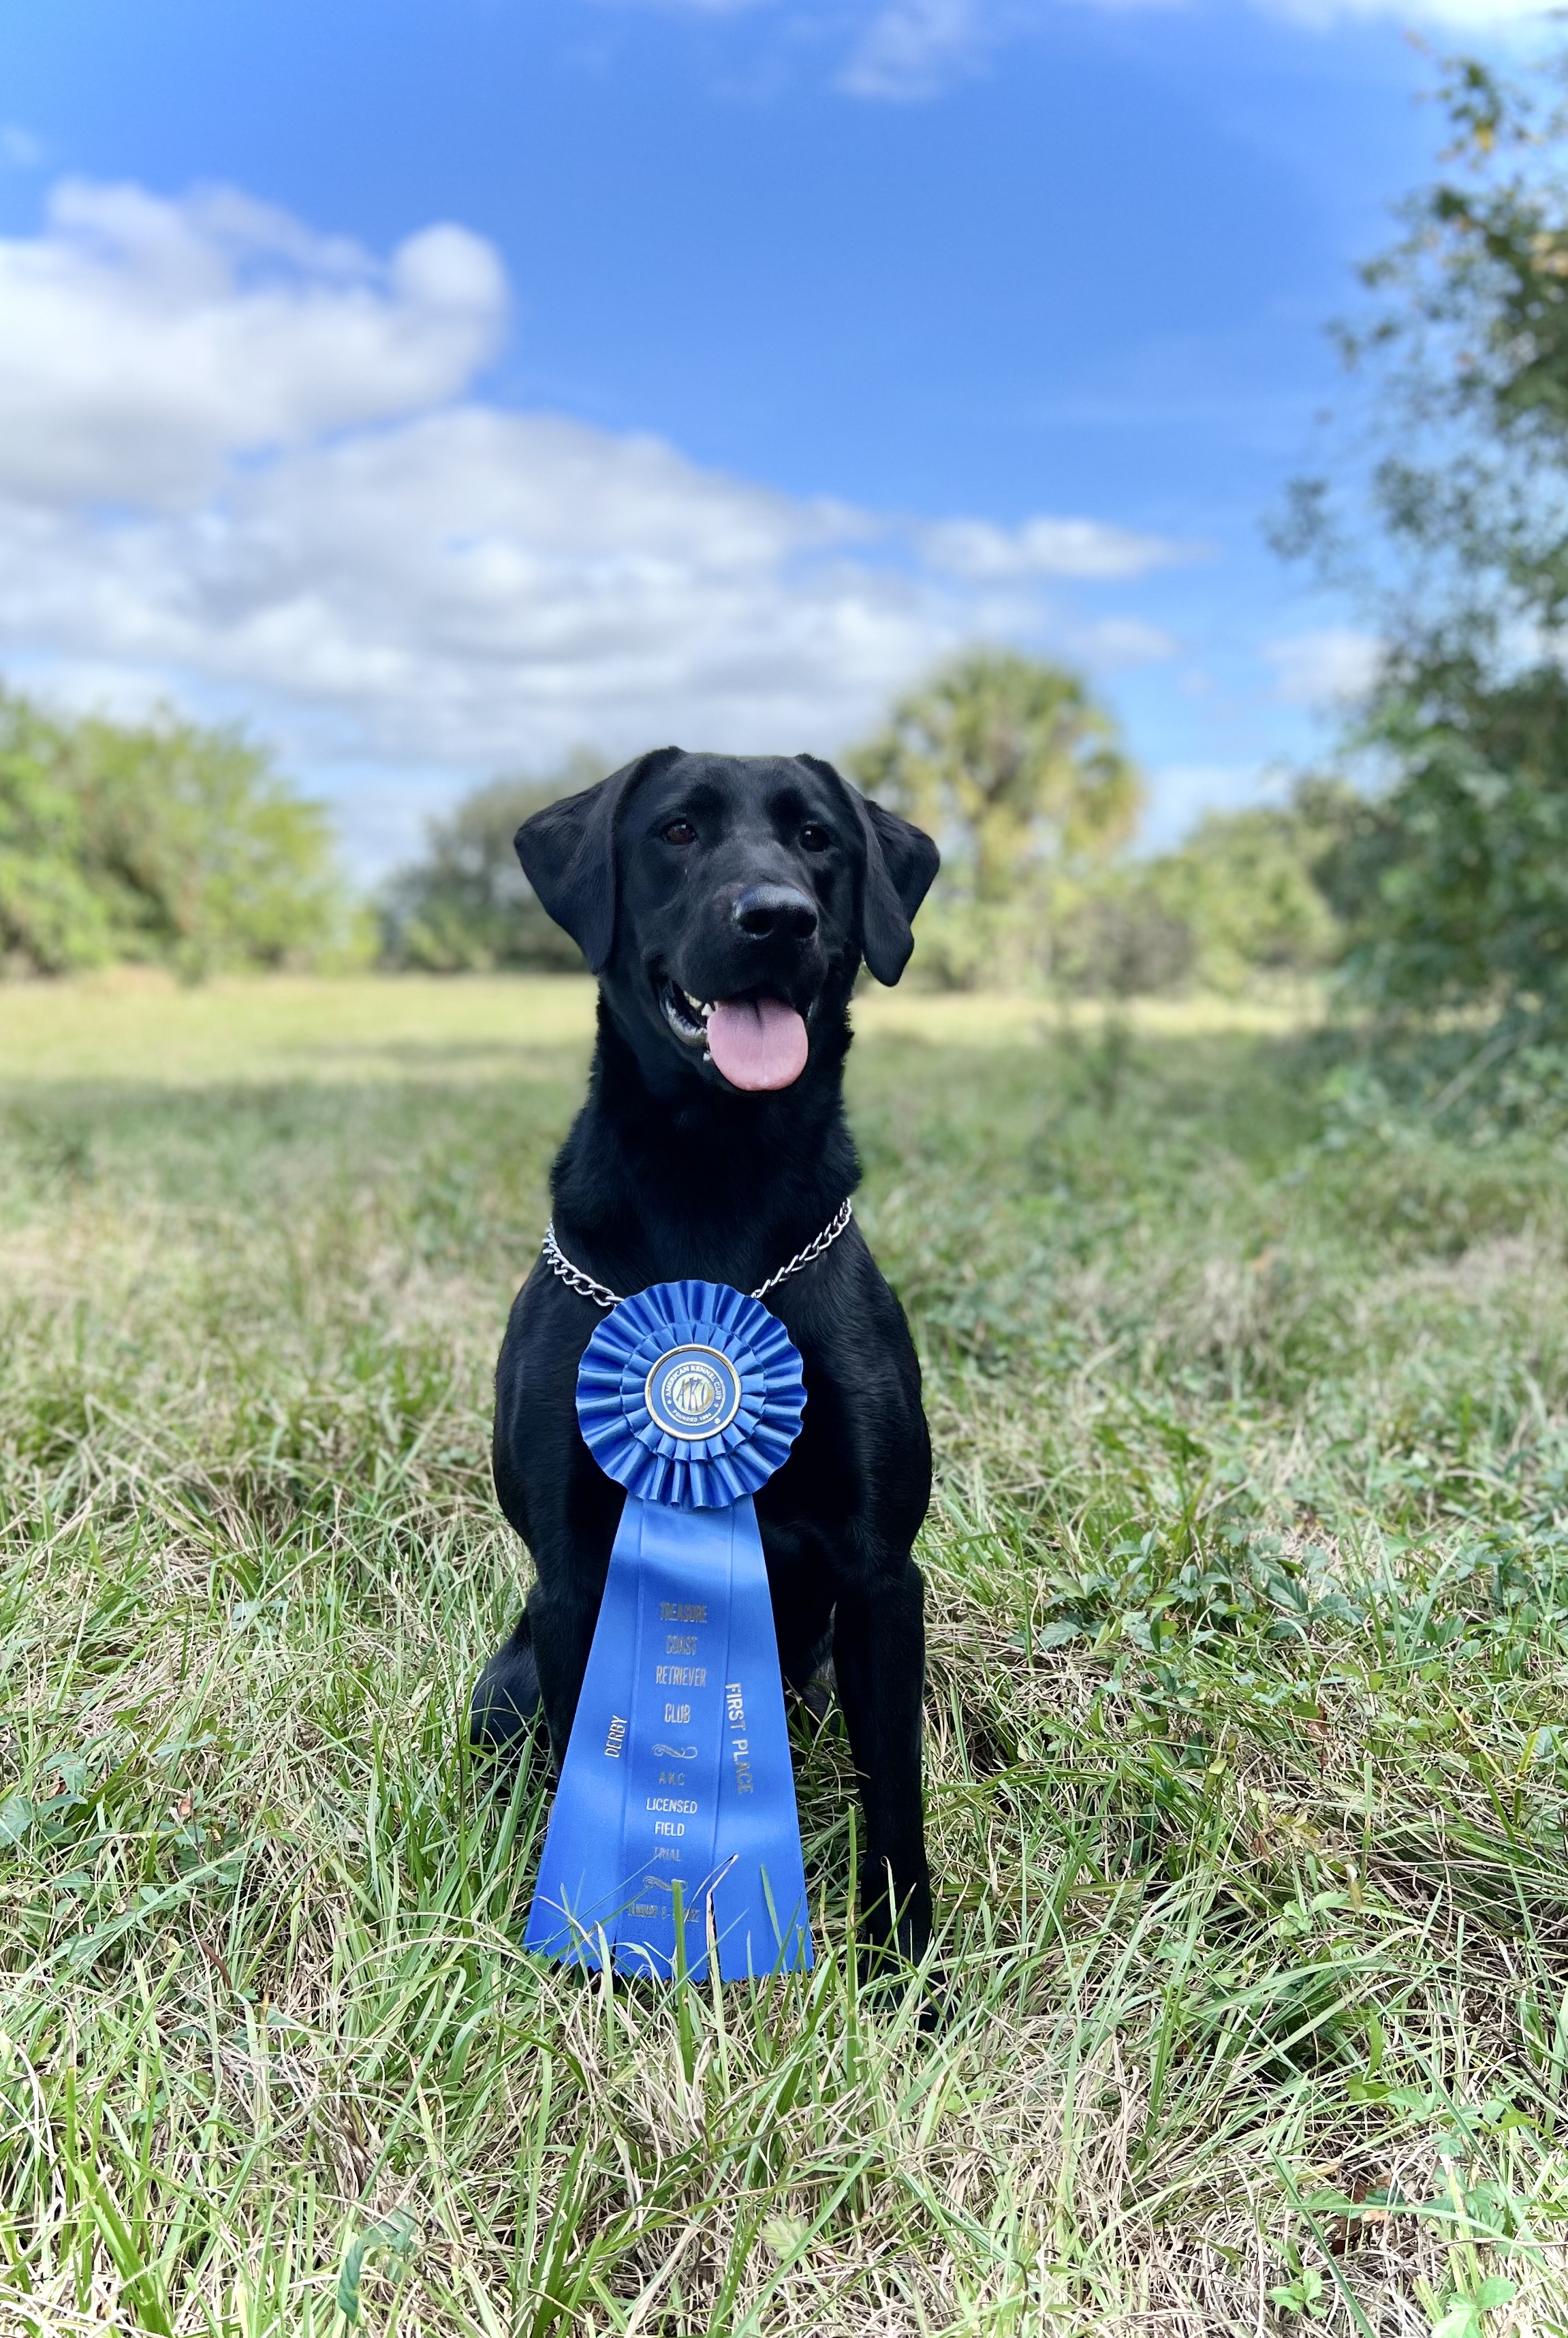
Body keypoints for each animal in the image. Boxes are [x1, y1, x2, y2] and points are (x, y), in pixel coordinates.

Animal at [472, 757, 944, 1963]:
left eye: (818, 839)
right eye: (677, 831)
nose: (776, 917)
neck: (714, 1185)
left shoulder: (881, 1578)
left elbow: (895, 1800)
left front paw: (905, 1970)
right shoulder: (573, 1573)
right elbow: (585, 1781)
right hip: (503, 1685)